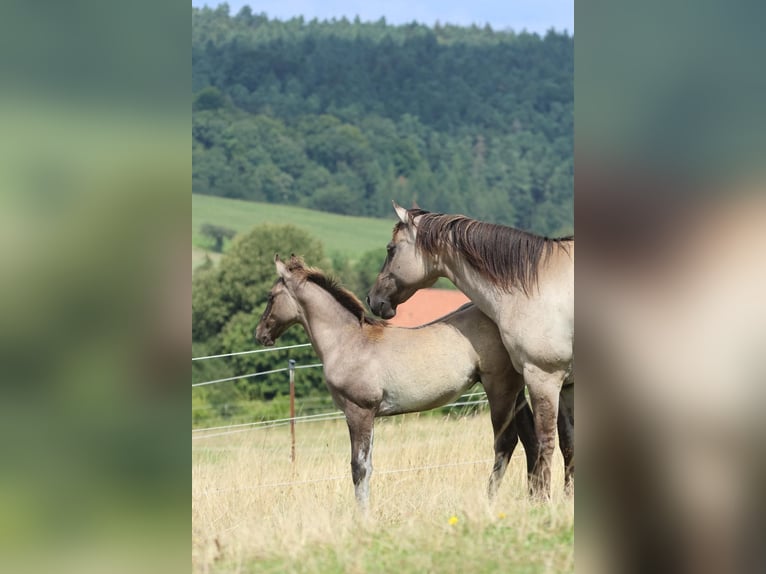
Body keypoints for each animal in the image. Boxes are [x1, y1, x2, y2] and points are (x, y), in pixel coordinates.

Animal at [255, 256, 544, 512]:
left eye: (271, 296)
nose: (260, 334)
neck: (348, 341)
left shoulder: (359, 411)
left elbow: (358, 467)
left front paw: (362, 517)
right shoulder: (365, 415)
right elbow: (368, 466)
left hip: (499, 388)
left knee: (506, 442)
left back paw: (491, 501)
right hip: (515, 391)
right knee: (531, 439)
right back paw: (536, 498)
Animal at [368, 204, 572, 500]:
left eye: (390, 249)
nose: (373, 300)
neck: (537, 286)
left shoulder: (544, 377)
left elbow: (547, 441)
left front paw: (544, 501)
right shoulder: (567, 384)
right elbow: (569, 443)